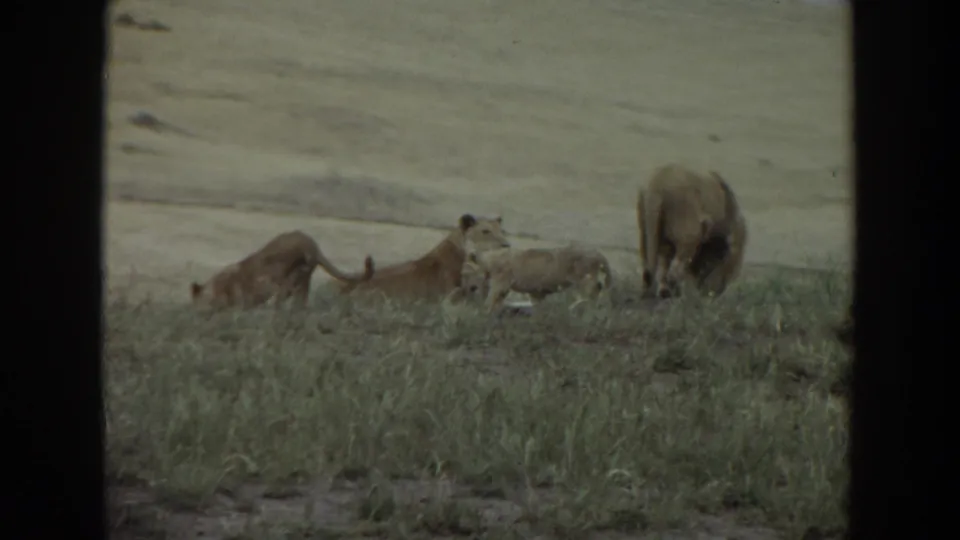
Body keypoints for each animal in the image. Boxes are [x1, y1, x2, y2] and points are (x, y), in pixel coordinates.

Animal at [459, 244, 614, 312]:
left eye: (465, 271)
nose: (465, 287)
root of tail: (598, 253)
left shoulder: (500, 283)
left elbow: (491, 300)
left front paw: (483, 311)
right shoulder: (533, 292)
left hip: (585, 280)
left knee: (593, 293)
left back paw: (579, 307)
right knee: (598, 291)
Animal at [637, 163, 748, 299]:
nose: (716, 293)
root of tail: (656, 186)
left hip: (645, 224)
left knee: (650, 261)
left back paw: (655, 293)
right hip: (688, 232)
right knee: (675, 269)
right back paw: (676, 294)